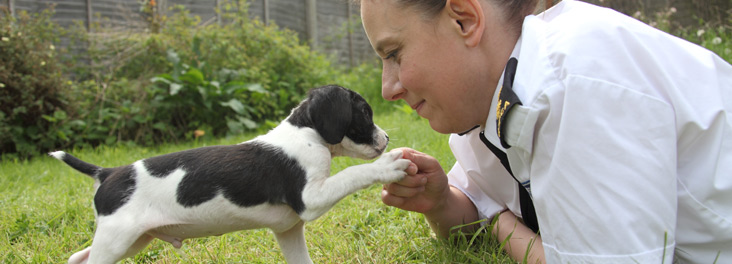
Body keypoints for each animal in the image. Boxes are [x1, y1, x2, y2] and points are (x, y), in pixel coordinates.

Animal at [50, 85, 412, 264]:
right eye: (364, 112)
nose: (386, 138)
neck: (306, 131)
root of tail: (107, 172)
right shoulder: (311, 198)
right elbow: (352, 173)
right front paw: (386, 165)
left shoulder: (289, 230)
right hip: (118, 240)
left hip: (133, 241)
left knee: (77, 257)